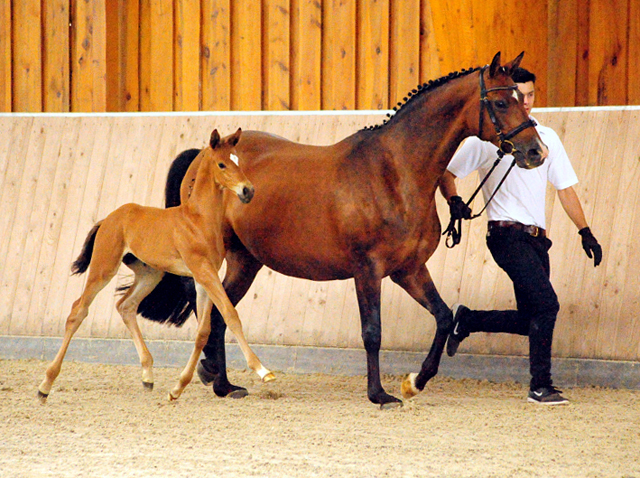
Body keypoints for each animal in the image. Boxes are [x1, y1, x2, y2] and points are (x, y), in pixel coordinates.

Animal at [36, 128, 274, 404]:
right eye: (222, 164)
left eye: (238, 160)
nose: (248, 191)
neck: (198, 220)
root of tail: (109, 218)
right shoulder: (203, 271)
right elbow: (230, 314)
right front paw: (263, 371)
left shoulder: (204, 277)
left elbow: (203, 331)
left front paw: (177, 388)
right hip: (104, 268)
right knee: (78, 311)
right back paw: (45, 386)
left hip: (150, 274)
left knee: (126, 306)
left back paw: (148, 375)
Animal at [132, 53, 548, 410]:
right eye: (501, 103)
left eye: (521, 98)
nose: (536, 152)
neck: (394, 172)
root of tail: (205, 155)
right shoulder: (368, 270)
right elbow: (372, 332)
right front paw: (379, 394)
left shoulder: (408, 270)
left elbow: (444, 318)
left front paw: (414, 382)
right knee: (209, 306)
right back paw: (211, 376)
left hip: (246, 261)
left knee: (220, 312)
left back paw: (223, 384)